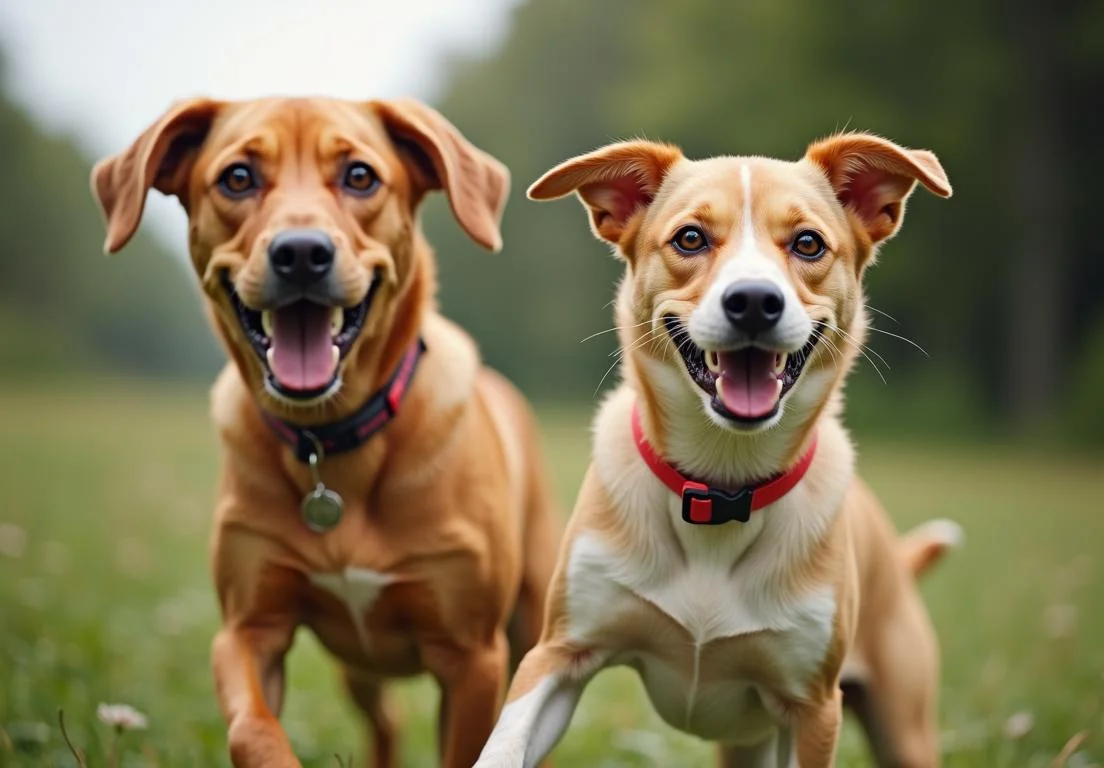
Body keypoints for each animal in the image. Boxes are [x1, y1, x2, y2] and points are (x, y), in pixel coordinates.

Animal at [90, 97, 560, 768]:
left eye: (360, 176)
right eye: (237, 177)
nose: (301, 253)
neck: (330, 441)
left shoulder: (472, 655)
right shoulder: (248, 627)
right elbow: (252, 729)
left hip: (530, 617)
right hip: (358, 667)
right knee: (385, 718)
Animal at [474, 133, 958, 768]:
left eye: (808, 243)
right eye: (690, 238)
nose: (753, 300)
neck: (722, 484)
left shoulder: (812, 710)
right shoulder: (557, 653)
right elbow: (504, 744)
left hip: (903, 727)